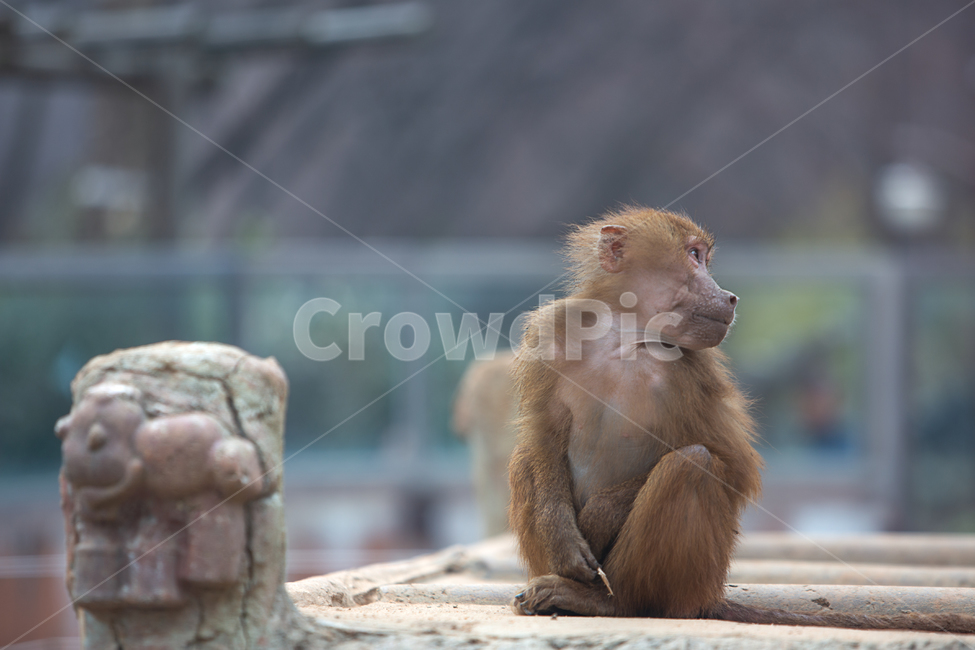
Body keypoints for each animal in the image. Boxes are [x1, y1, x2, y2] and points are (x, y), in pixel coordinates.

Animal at [507, 206, 975, 633]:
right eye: (694, 255)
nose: (729, 296)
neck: (624, 338)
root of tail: (708, 595)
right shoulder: (553, 331)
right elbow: (542, 439)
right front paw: (565, 539)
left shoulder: (693, 372)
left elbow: (734, 467)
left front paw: (599, 518)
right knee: (524, 459)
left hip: (695, 577)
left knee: (691, 465)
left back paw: (609, 602)